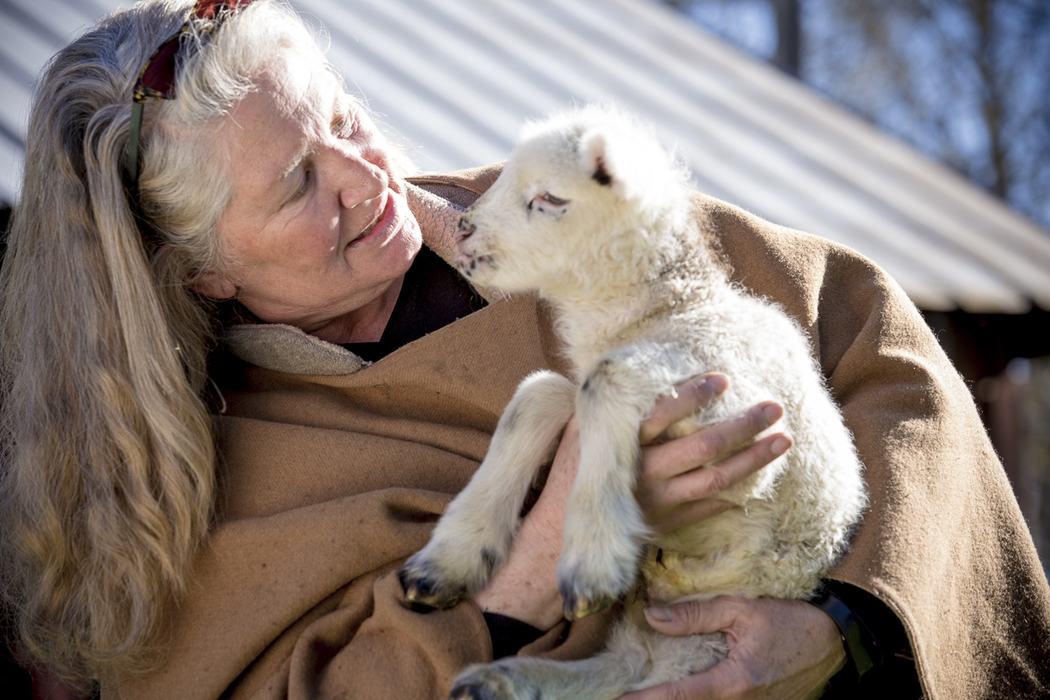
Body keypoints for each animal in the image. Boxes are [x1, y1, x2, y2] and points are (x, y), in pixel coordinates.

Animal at [397, 106, 867, 700]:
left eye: (550, 198)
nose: (463, 228)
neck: (670, 312)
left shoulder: (750, 438)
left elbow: (605, 381)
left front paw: (593, 561)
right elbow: (540, 393)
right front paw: (449, 559)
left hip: (705, 640)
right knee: (620, 669)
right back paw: (497, 680)